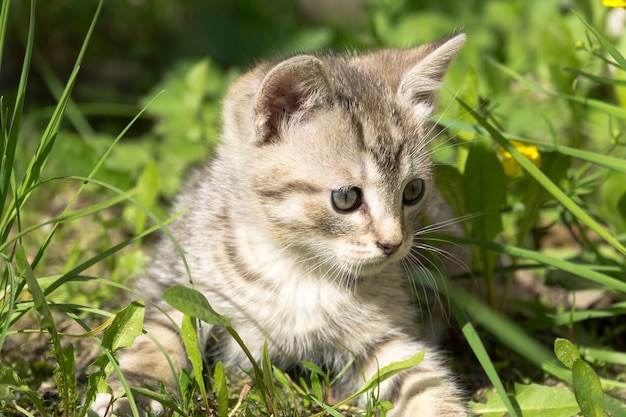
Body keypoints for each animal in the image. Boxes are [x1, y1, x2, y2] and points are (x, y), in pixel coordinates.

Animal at [91, 32, 464, 416]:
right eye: (346, 197)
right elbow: (151, 338)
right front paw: (132, 392)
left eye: (413, 191)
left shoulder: (387, 336)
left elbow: (424, 383)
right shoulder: (172, 286)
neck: (299, 268)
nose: (393, 244)